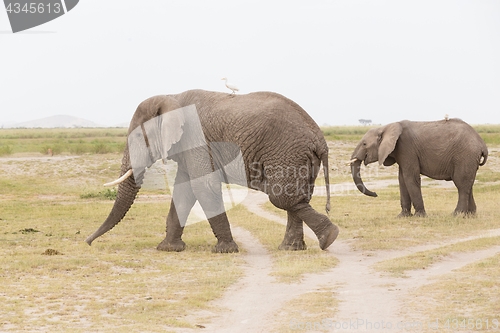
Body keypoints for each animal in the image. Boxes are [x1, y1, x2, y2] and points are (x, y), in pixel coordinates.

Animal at [86, 89, 340, 252]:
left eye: (139, 137)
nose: (87, 242)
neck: (172, 98)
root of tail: (320, 139)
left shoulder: (195, 138)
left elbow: (202, 186)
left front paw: (225, 250)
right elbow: (183, 191)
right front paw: (168, 249)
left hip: (287, 152)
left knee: (284, 198)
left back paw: (328, 238)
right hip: (300, 157)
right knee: (297, 198)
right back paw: (293, 248)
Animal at [350, 118, 486, 217]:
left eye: (364, 144)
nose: (376, 194)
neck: (386, 127)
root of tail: (482, 144)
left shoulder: (407, 148)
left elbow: (410, 178)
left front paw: (419, 216)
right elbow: (402, 179)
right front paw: (403, 216)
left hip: (465, 155)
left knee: (461, 184)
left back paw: (457, 214)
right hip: (468, 158)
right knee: (468, 184)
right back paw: (470, 214)